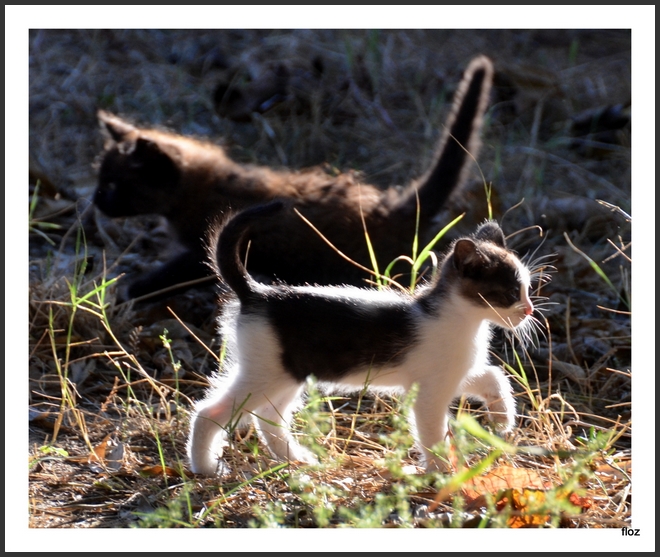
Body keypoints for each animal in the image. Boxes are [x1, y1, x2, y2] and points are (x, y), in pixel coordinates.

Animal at [186, 202, 536, 476]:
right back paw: (205, 467)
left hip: (286, 376)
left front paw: (502, 416)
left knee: (269, 418)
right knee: (209, 412)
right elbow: (433, 432)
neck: (463, 321)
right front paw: (442, 472)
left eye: (527, 289)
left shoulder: (452, 374)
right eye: (509, 293)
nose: (529, 310)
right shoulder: (429, 393)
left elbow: (493, 376)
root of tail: (257, 293)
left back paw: (297, 459)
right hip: (264, 374)